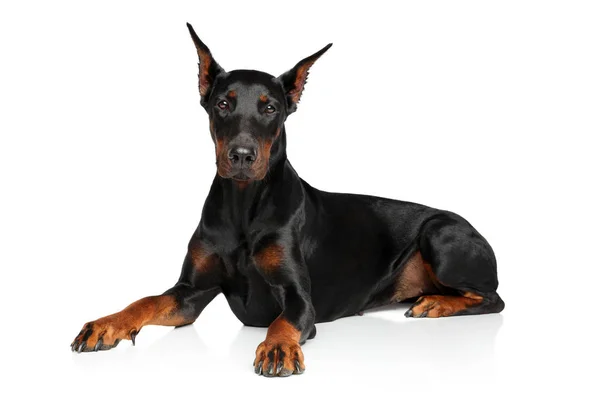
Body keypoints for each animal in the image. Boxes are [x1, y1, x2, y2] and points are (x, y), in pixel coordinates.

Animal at [70, 23, 504, 376]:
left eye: (270, 108)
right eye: (223, 104)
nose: (242, 156)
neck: (243, 207)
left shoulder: (298, 296)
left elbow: (284, 320)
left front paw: (278, 348)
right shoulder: (190, 291)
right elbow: (145, 300)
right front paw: (107, 323)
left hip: (440, 234)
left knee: (492, 298)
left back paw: (436, 304)